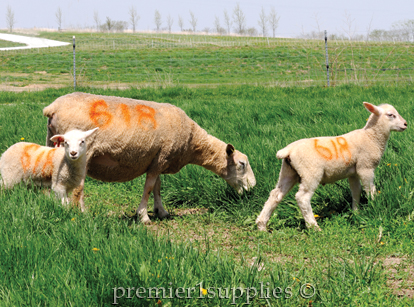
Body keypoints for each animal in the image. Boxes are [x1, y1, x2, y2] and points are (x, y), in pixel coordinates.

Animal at [42, 92, 256, 225]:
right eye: (242, 164)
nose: (253, 188)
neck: (192, 142)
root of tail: (52, 107)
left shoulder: (159, 159)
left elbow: (157, 188)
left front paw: (161, 211)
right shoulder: (160, 159)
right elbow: (148, 188)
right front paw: (143, 216)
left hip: (53, 143)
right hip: (79, 155)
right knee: (79, 187)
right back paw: (82, 213)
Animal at [256, 102, 408, 232]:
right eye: (390, 115)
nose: (406, 124)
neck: (371, 137)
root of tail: (288, 150)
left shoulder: (353, 172)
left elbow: (356, 191)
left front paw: (356, 212)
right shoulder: (366, 167)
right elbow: (370, 190)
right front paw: (375, 206)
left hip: (288, 171)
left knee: (275, 195)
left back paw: (261, 225)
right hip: (310, 172)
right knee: (302, 197)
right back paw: (314, 227)